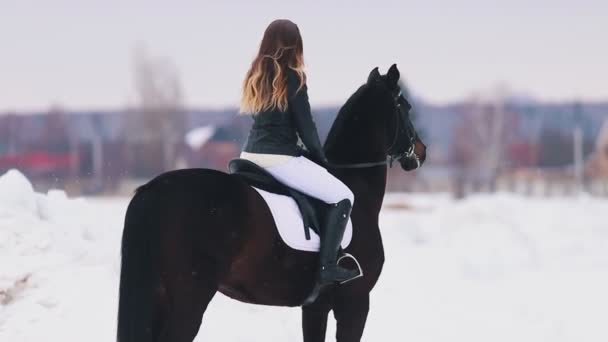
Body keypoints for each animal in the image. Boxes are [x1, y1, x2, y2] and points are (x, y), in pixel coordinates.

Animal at [116, 65, 426, 342]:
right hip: (188, 299)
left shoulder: (316, 306)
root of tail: (153, 189)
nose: (421, 152)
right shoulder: (355, 302)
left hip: (158, 296)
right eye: (406, 106)